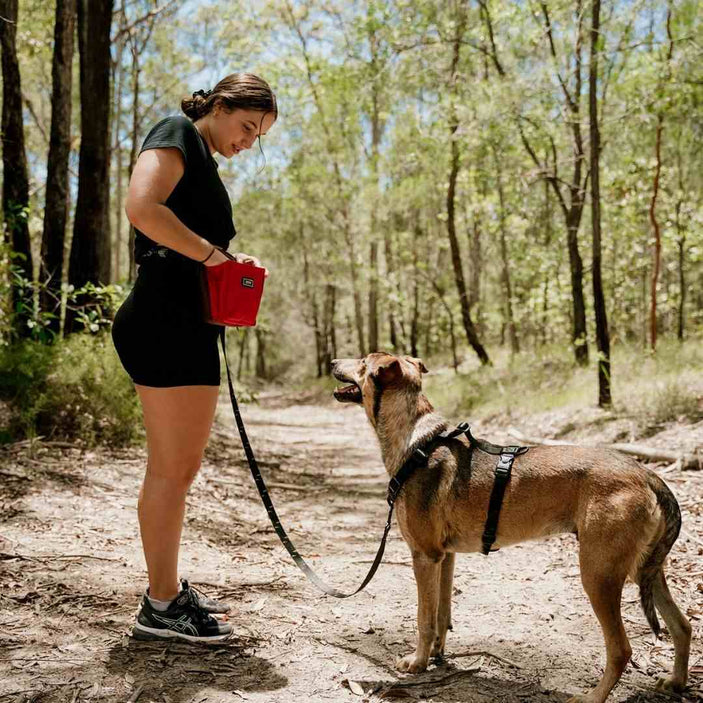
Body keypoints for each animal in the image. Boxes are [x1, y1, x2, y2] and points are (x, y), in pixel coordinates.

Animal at [332, 354, 692, 703]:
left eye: (363, 361)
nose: (333, 362)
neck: (417, 441)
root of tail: (649, 475)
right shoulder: (444, 558)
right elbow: (441, 615)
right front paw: (437, 656)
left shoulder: (424, 556)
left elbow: (424, 619)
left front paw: (417, 663)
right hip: (644, 570)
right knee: (682, 625)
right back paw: (675, 681)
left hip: (599, 575)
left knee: (621, 650)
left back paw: (592, 697)